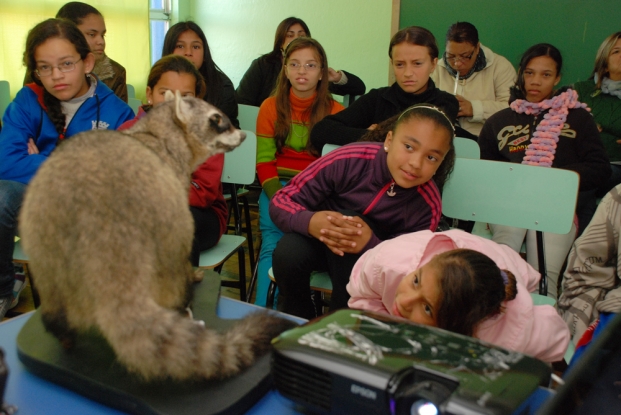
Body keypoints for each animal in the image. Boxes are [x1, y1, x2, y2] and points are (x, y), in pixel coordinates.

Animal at [20, 92, 296, 384]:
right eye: (217, 119)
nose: (244, 135)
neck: (159, 129)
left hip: (44, 237)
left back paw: (61, 329)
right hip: (165, 223)